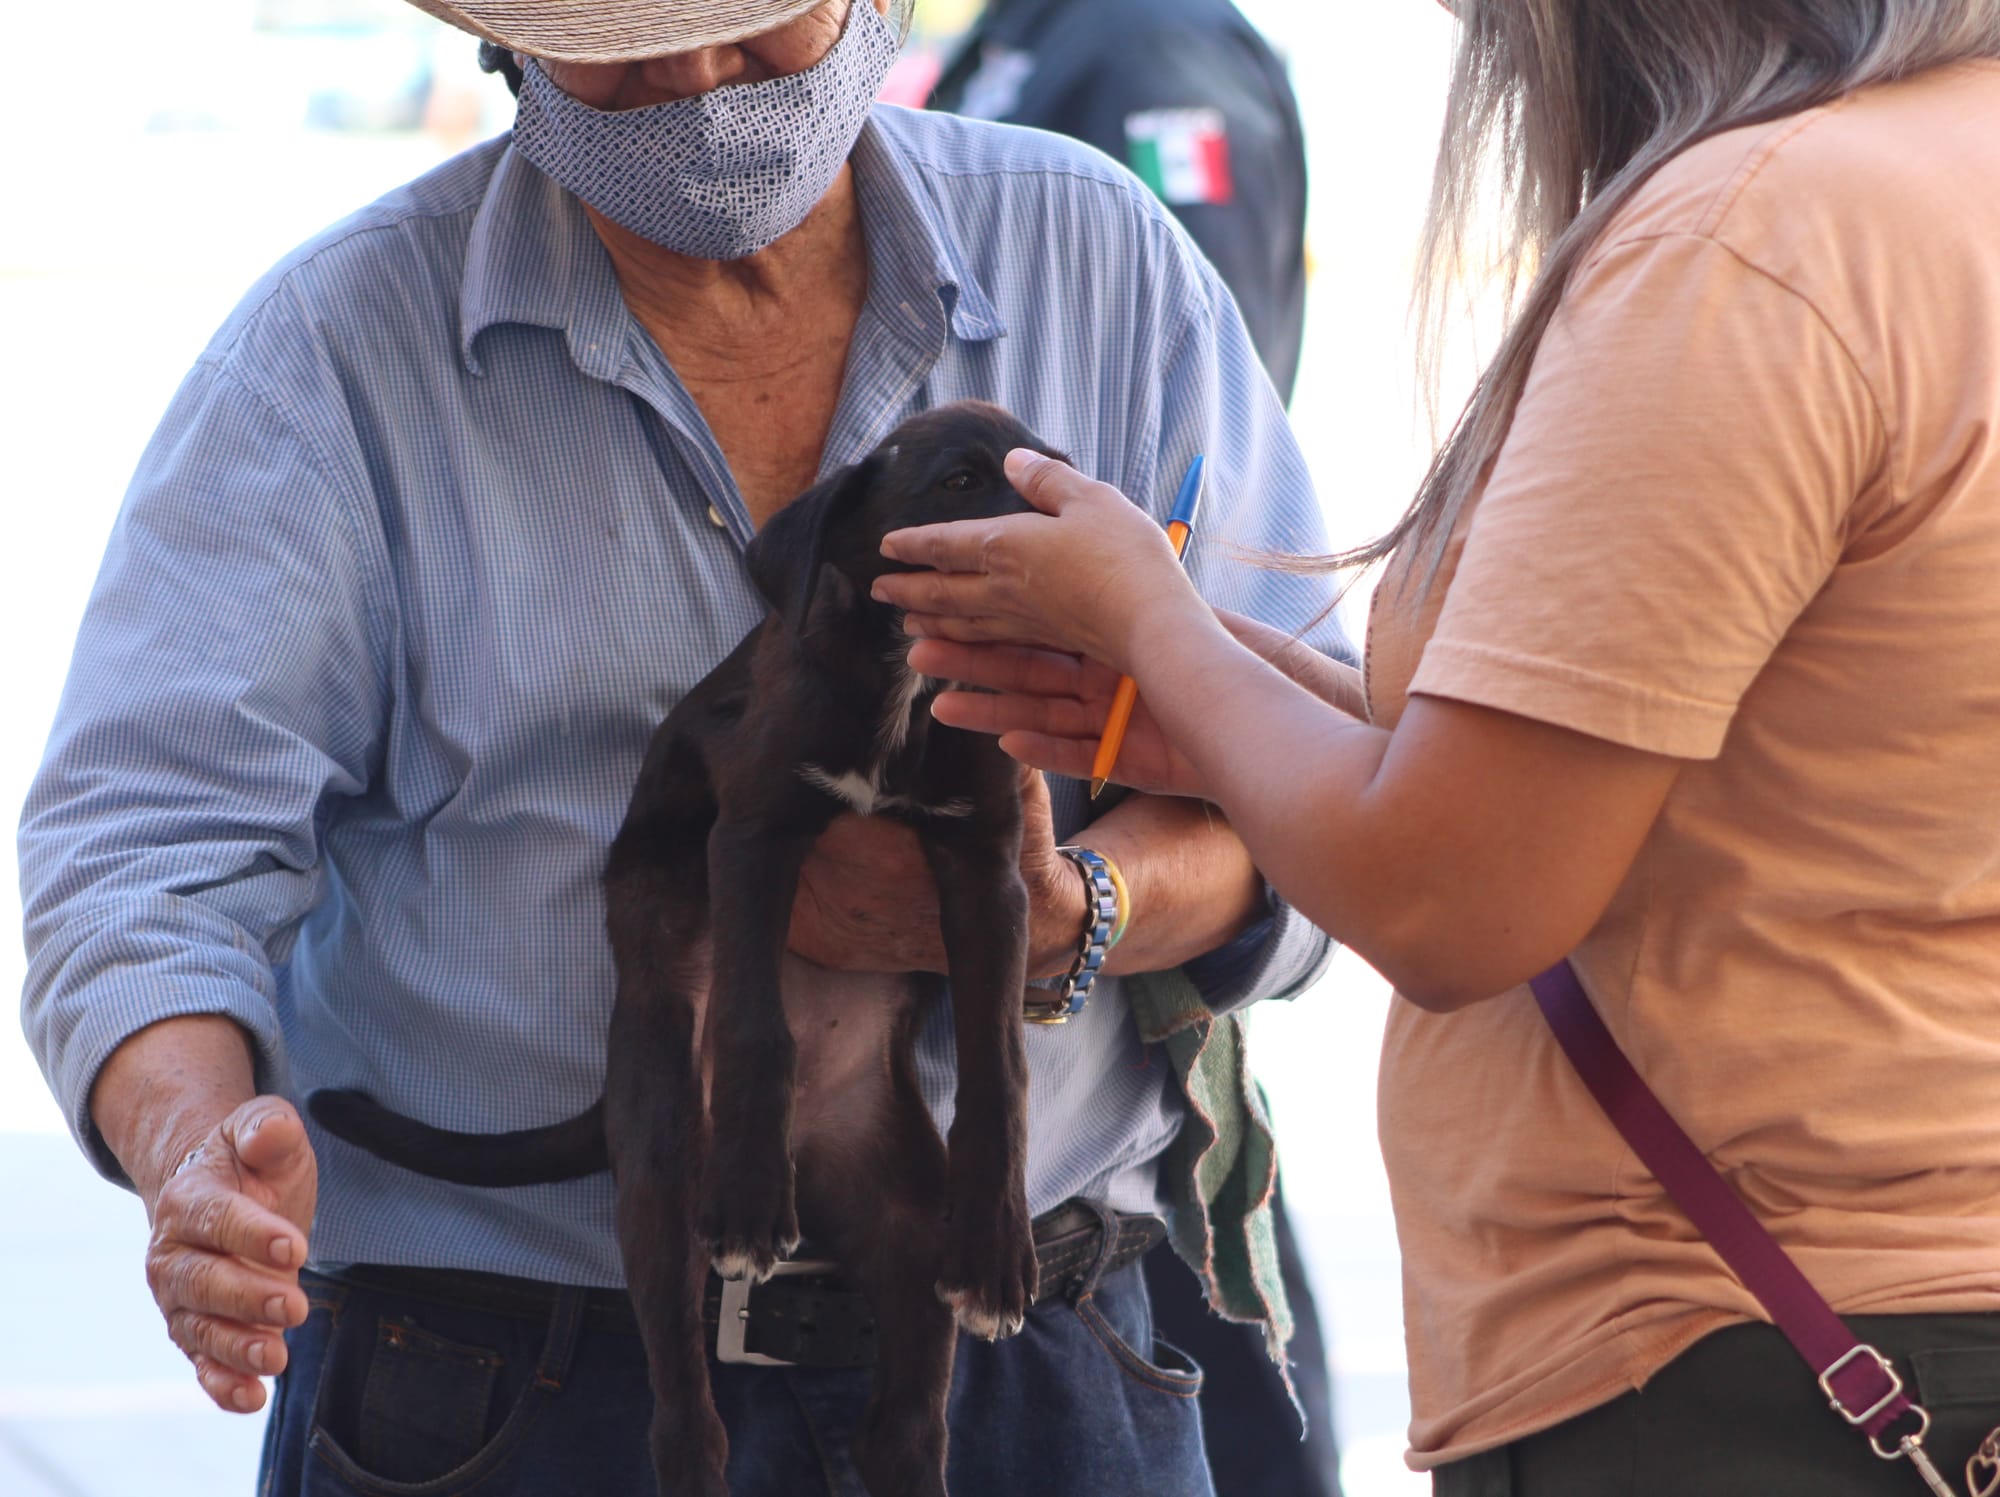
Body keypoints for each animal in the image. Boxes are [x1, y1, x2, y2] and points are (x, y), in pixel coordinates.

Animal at [312, 400, 1064, 1496]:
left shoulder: (987, 874)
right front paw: (749, 1198)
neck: (898, 688)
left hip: (905, 1221)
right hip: (663, 1173)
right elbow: (756, 1023)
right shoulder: (752, 833)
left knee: (903, 1429)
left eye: (1054, 472)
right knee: (681, 1415)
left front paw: (998, 1251)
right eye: (961, 482)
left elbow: (999, 1067)